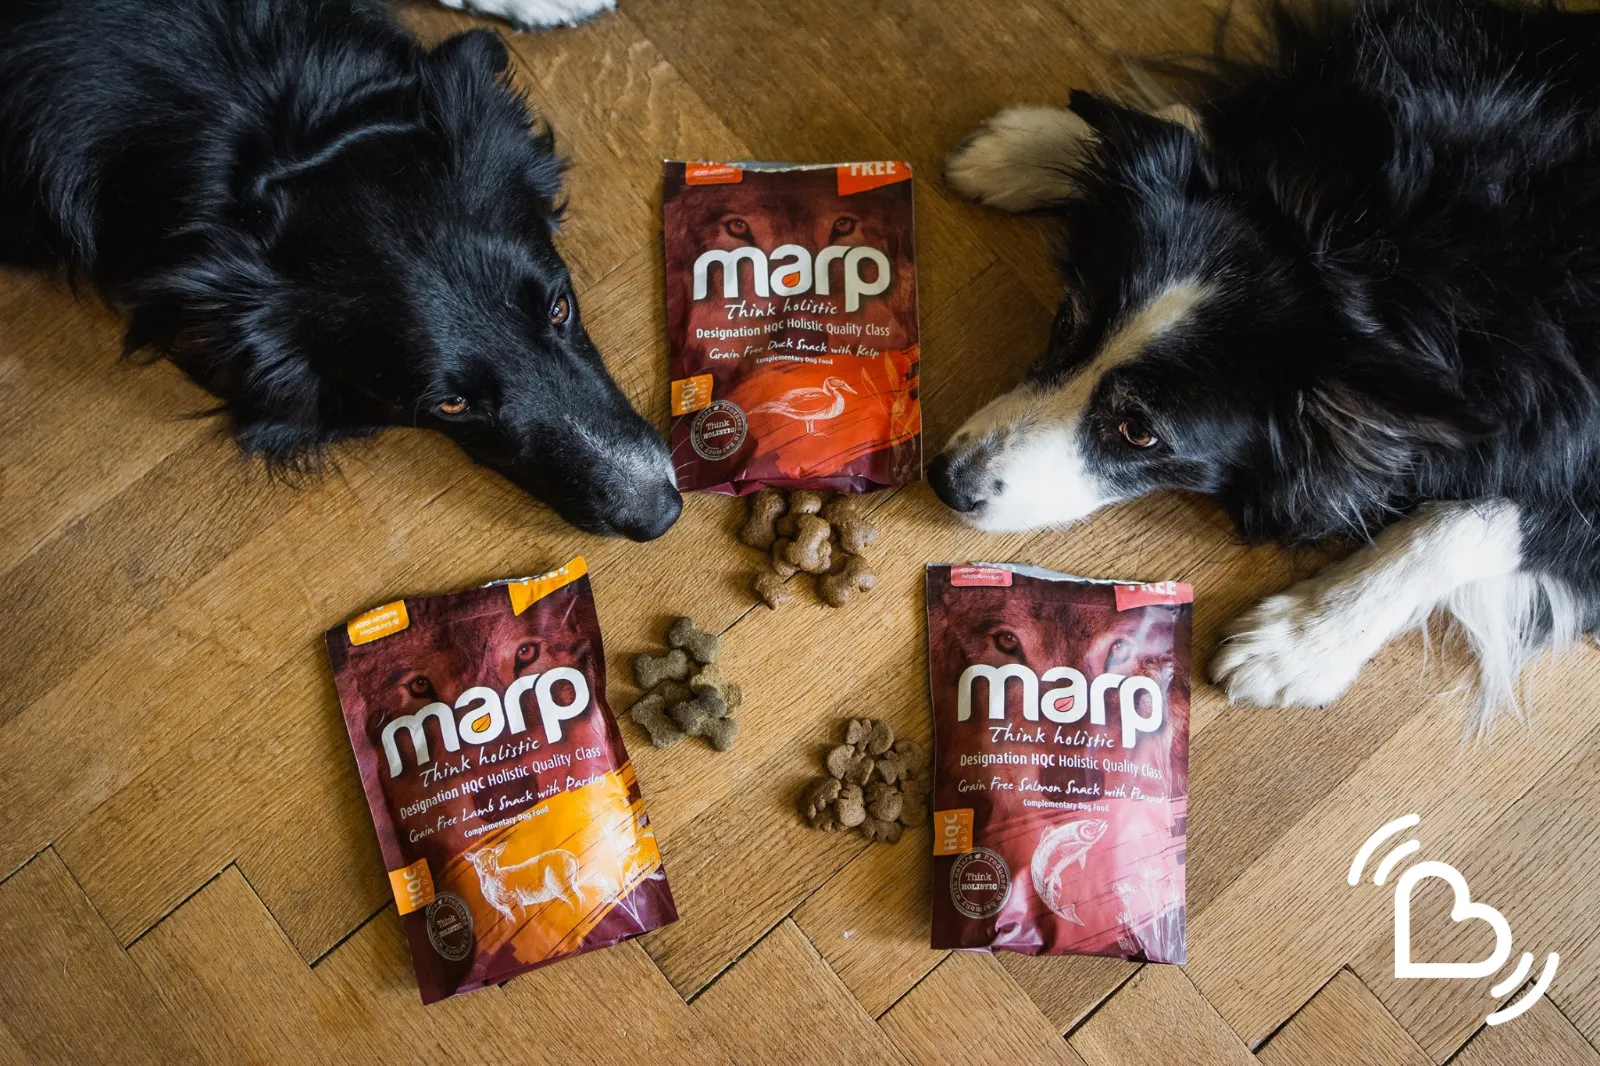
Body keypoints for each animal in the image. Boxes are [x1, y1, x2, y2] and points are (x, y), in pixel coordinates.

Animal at [932, 0, 1600, 728]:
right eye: (1065, 321)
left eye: (1140, 433)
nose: (946, 481)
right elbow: (1201, 121)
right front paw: (1031, 147)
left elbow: (1467, 521)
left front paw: (1299, 643)